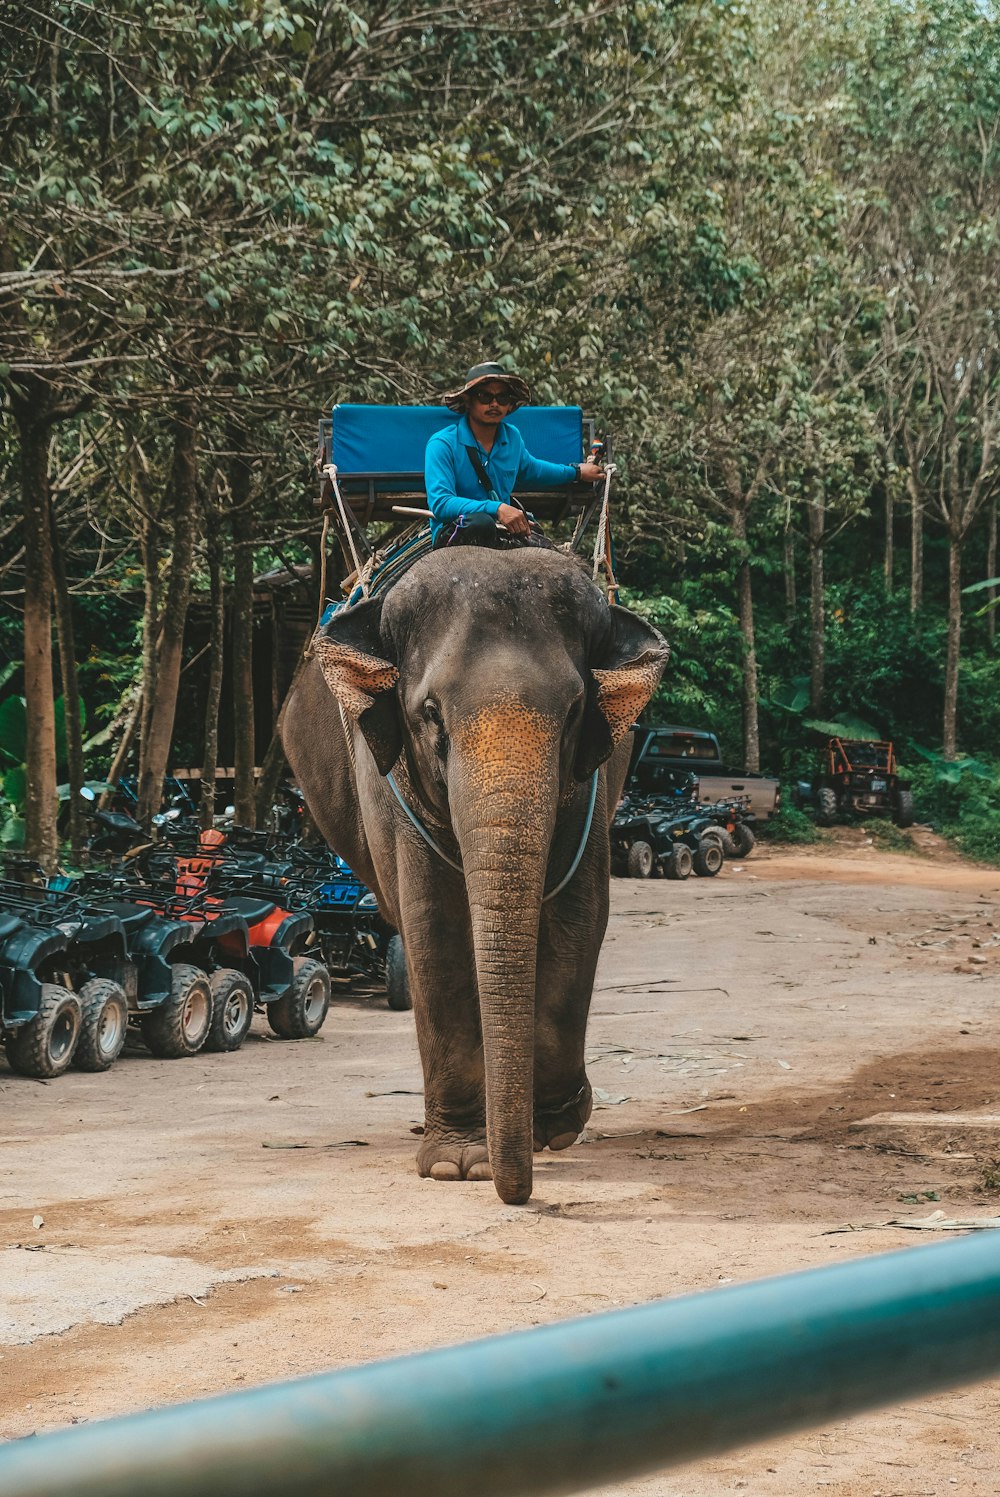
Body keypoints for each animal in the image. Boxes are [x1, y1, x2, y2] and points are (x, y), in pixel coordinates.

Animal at [281, 550, 667, 1203]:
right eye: (431, 715)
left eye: (573, 712)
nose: (519, 1195)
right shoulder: (393, 789)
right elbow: (435, 928)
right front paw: (457, 1164)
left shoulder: (591, 787)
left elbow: (580, 918)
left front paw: (554, 1127)